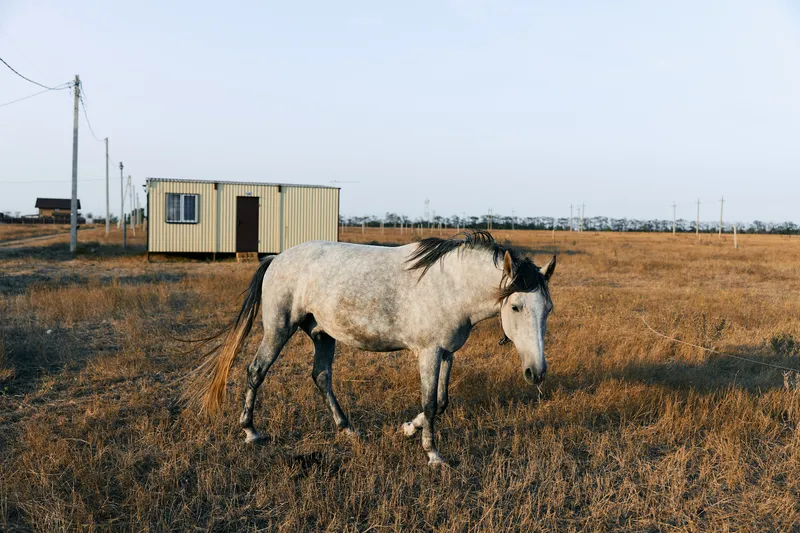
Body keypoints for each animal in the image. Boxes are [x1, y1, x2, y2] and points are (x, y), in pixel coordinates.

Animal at [185, 230, 556, 465]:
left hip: (322, 334)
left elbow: (440, 401)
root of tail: (276, 258)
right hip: (278, 329)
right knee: (256, 371)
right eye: (516, 307)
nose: (536, 372)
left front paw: (408, 429)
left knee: (321, 377)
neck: (450, 284)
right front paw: (433, 454)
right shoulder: (429, 353)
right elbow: (429, 403)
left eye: (547, 309)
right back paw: (250, 431)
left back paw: (347, 428)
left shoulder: (447, 353)